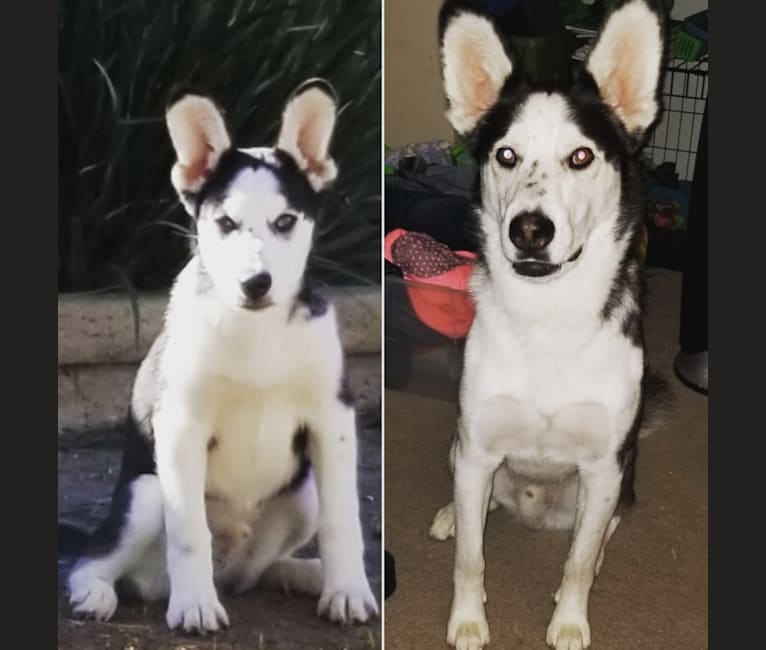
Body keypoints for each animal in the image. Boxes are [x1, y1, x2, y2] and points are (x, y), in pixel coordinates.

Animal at [62, 78, 378, 632]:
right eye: (225, 222)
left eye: (285, 221)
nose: (256, 283)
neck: (256, 328)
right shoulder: (180, 423)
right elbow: (190, 530)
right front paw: (194, 606)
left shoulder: (332, 418)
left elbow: (344, 520)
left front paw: (348, 591)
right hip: (146, 495)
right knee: (91, 562)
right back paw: (100, 594)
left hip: (302, 497)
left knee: (265, 569)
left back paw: (306, 574)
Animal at [432, 0, 672, 644]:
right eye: (505, 155)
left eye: (581, 156)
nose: (529, 230)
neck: (549, 318)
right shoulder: (478, 449)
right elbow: (469, 557)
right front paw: (468, 620)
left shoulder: (604, 468)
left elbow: (579, 562)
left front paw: (568, 620)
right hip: (467, 454)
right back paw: (451, 514)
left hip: (620, 483)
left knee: (601, 531)